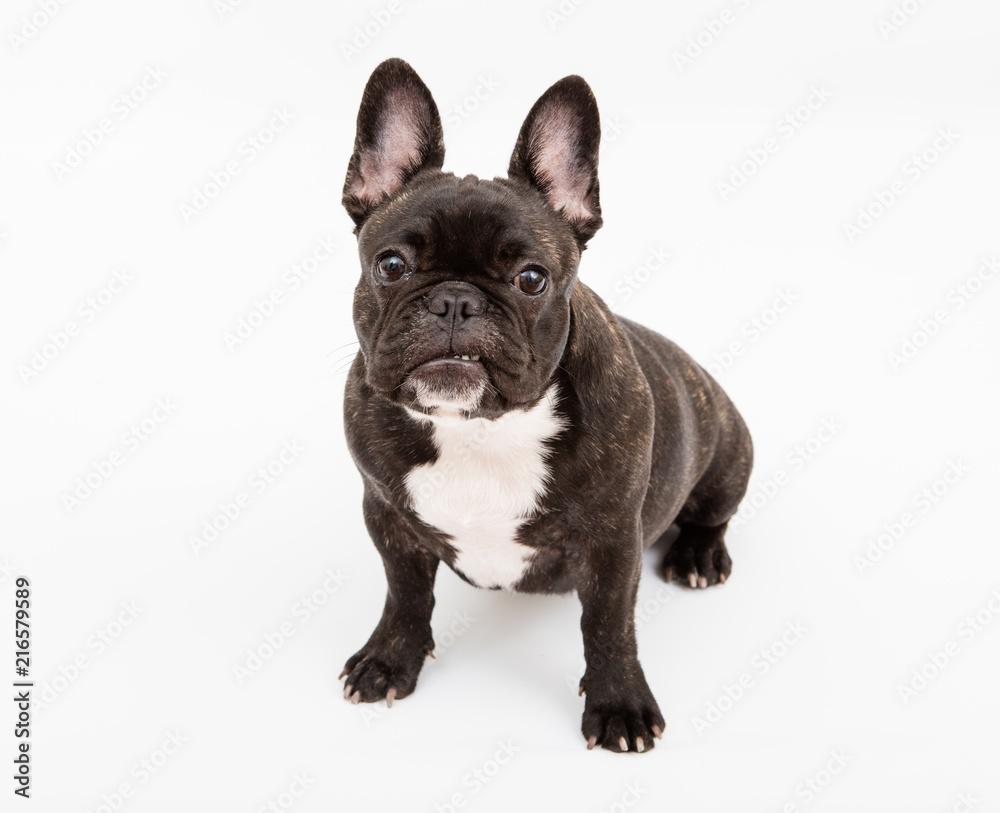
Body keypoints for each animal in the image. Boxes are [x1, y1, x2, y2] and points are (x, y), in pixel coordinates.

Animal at [336, 58, 752, 756]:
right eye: (391, 265)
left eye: (531, 279)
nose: (455, 301)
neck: (481, 428)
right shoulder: (388, 516)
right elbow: (406, 596)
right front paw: (389, 660)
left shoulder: (613, 543)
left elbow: (609, 627)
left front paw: (619, 706)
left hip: (727, 446)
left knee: (713, 511)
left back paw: (698, 556)